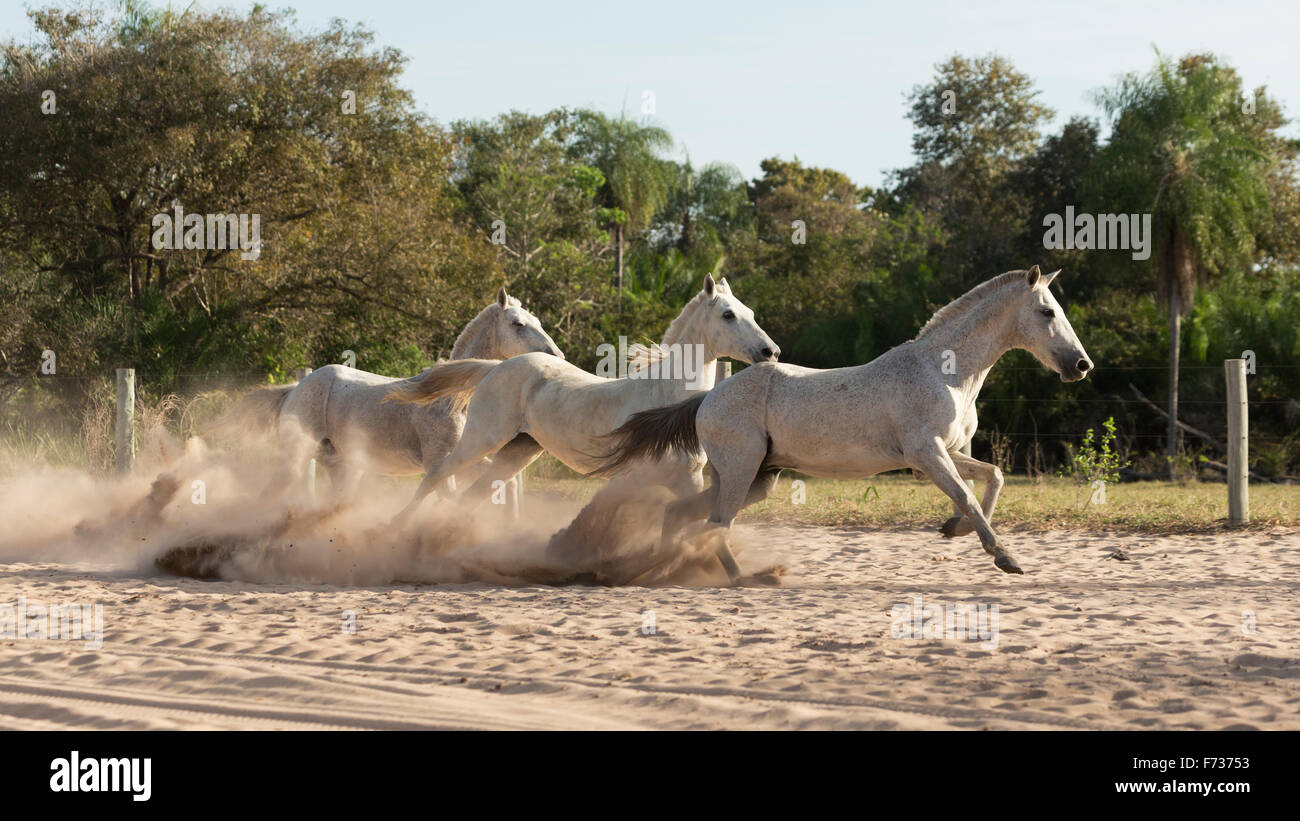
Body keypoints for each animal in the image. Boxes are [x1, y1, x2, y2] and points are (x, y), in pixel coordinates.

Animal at [231, 288, 561, 506]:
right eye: (518, 324)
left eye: (539, 322)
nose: (557, 355)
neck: (451, 399)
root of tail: (296, 388)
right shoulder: (439, 461)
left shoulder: (462, 458)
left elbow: (507, 482)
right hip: (297, 456)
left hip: (339, 466)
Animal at [379, 274, 774, 519]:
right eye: (728, 314)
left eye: (751, 313)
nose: (771, 351)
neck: (666, 397)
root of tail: (495, 368)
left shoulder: (677, 480)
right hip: (481, 439)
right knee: (436, 476)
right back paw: (395, 528)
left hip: (517, 451)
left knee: (469, 496)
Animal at [598, 266, 1097, 579]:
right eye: (1048, 311)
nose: (1081, 365)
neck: (943, 371)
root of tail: (707, 399)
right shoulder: (927, 453)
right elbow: (969, 496)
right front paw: (1006, 558)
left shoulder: (946, 451)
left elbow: (991, 478)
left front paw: (953, 529)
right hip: (741, 473)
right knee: (717, 526)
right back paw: (748, 577)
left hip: (757, 477)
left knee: (684, 515)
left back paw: (665, 567)